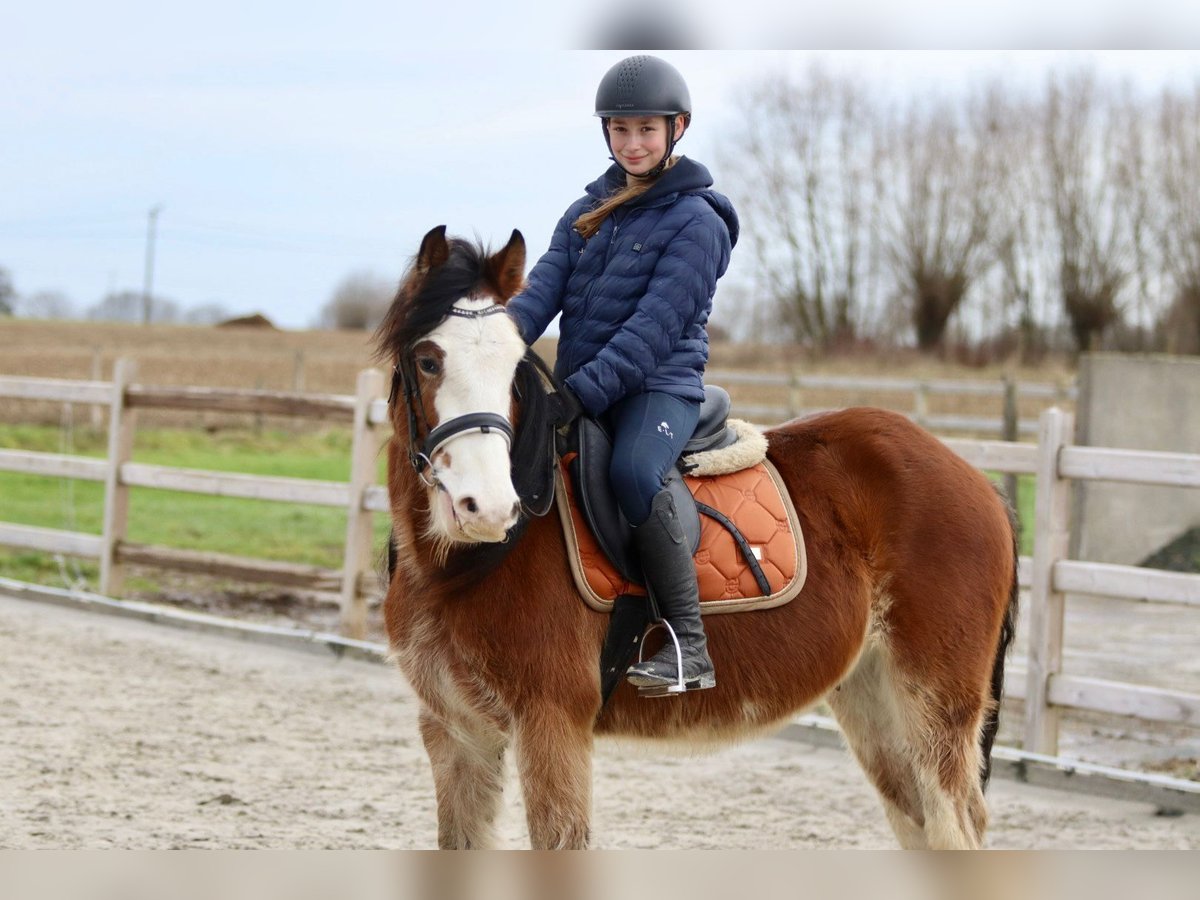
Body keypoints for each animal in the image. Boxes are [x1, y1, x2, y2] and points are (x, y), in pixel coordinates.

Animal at [376, 226, 1022, 854]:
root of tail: (979, 482)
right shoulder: (456, 731)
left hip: (931, 704)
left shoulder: (551, 723)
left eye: (514, 366)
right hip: (873, 700)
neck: (463, 566)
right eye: (428, 361)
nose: (488, 508)